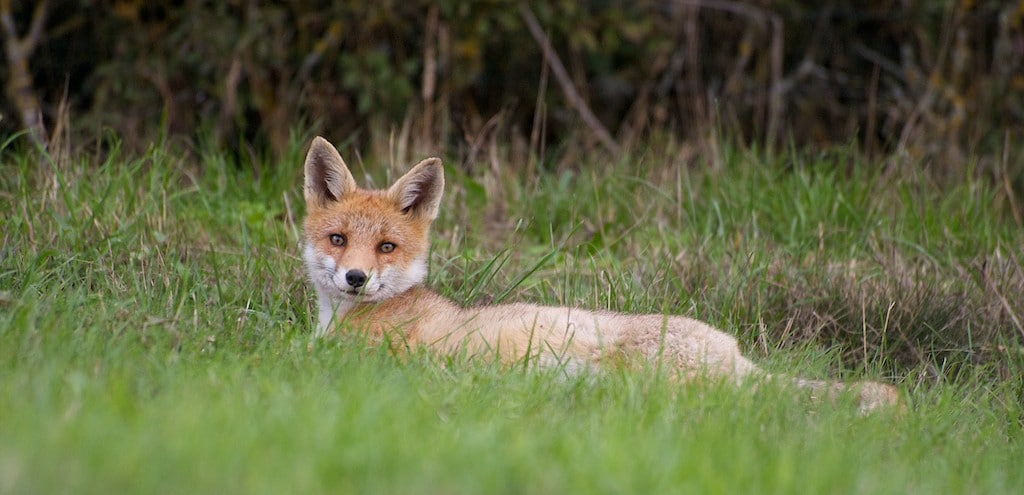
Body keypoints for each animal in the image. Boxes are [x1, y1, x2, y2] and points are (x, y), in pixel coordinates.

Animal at [299, 136, 901, 414]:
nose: (355, 278)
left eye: (387, 247)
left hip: (644, 377)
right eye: (338, 240)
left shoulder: (380, 359)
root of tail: (737, 353)